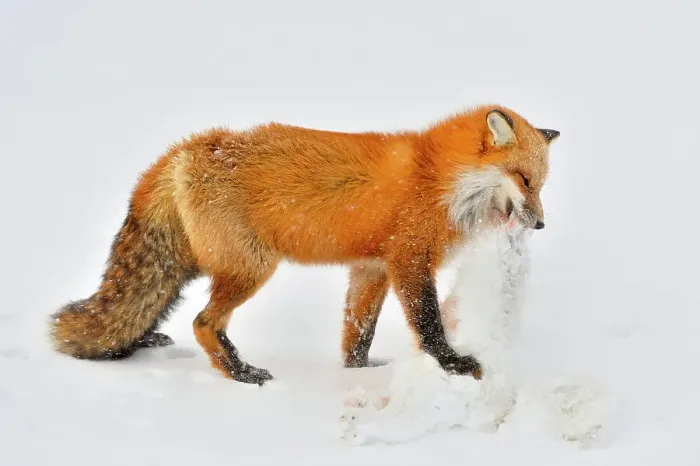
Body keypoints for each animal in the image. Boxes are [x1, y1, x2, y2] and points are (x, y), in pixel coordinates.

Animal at [49, 104, 559, 385]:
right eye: (524, 179)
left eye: (540, 185)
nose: (540, 224)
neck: (437, 180)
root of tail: (188, 147)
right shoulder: (409, 260)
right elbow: (429, 323)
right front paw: (453, 365)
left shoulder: (371, 268)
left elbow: (358, 331)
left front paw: (359, 374)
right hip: (251, 268)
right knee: (202, 323)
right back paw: (241, 374)